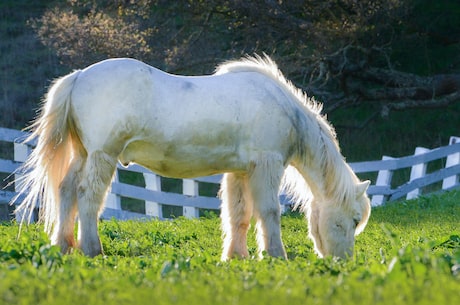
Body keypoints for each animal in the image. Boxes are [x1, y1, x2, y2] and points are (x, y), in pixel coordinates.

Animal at [13, 54, 370, 256]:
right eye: (353, 220)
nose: (343, 262)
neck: (282, 107)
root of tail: (79, 76)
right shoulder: (266, 166)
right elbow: (269, 212)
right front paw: (275, 255)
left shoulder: (241, 171)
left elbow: (239, 215)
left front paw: (237, 256)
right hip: (102, 156)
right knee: (88, 196)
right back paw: (91, 249)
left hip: (84, 154)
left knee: (66, 191)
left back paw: (63, 246)